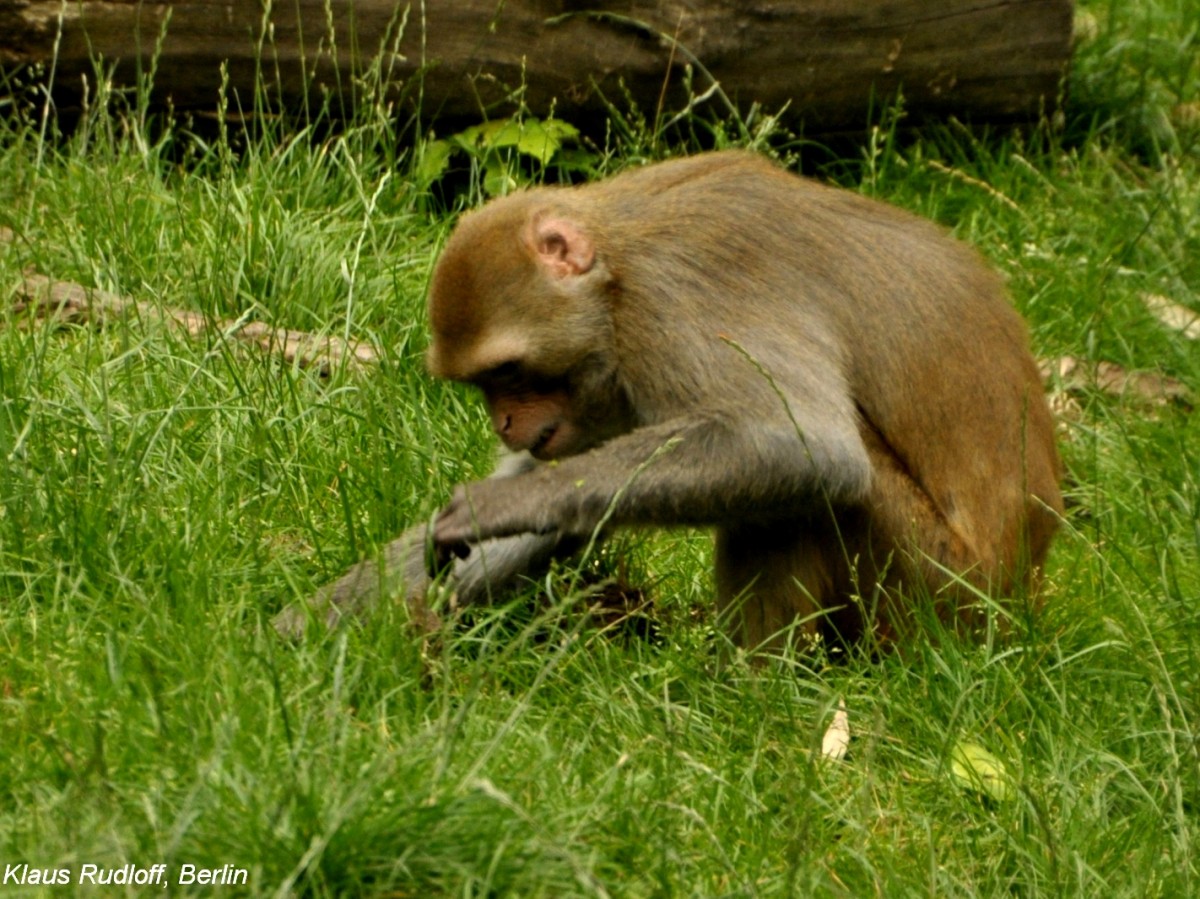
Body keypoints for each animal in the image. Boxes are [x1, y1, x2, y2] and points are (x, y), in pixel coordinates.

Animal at [276, 150, 1065, 648]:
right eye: (484, 384)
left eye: (510, 372)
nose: (503, 421)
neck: (618, 267)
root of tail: (1023, 595)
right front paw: (304, 629)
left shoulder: (679, 300)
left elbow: (802, 445)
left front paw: (497, 505)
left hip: (940, 598)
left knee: (811, 492)